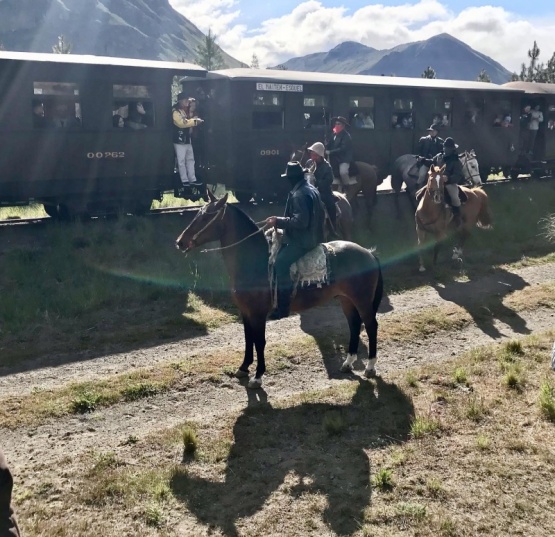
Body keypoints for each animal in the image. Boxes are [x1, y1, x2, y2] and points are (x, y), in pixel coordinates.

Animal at [176, 191, 384, 388]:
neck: (255, 262)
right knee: (354, 324)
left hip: (362, 300)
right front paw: (243, 368)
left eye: (205, 217)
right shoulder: (245, 312)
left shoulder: (258, 313)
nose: (180, 242)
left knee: (371, 325)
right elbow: (248, 339)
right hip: (346, 299)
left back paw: (370, 367)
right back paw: (348, 363)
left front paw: (257, 376)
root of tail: (369, 253)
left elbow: (259, 342)